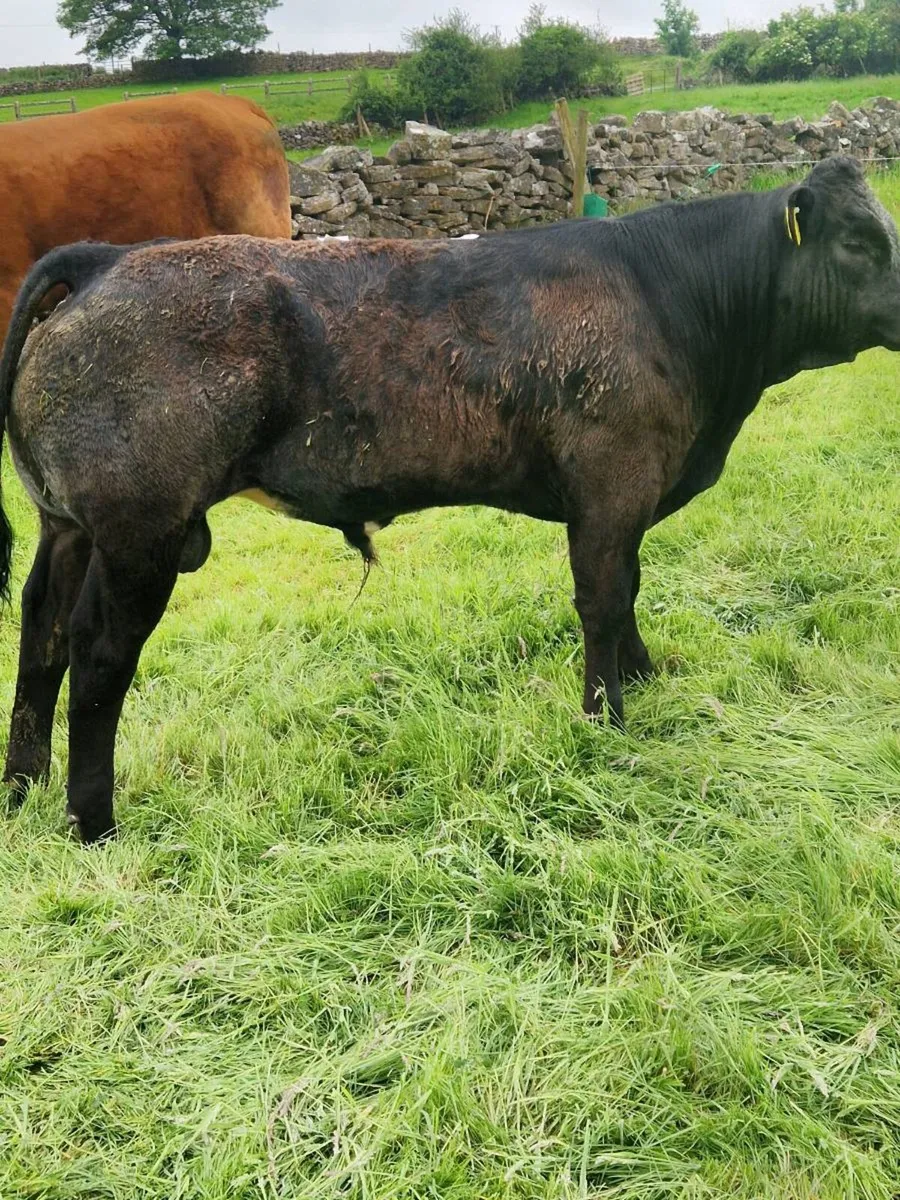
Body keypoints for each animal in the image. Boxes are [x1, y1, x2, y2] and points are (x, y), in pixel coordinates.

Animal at [0, 156, 898, 842]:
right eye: (860, 242)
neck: (669, 295)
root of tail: (109, 257)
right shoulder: (610, 488)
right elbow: (605, 600)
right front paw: (606, 718)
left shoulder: (627, 498)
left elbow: (631, 593)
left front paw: (641, 678)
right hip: (141, 533)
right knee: (99, 652)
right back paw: (94, 822)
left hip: (69, 525)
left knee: (42, 633)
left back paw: (22, 787)